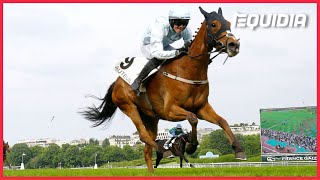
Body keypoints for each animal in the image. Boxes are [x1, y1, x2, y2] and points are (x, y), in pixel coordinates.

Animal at [81, 6, 246, 173]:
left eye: (229, 23)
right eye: (214, 24)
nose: (234, 45)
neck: (189, 70)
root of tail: (116, 83)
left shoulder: (202, 108)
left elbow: (222, 121)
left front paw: (239, 150)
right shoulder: (170, 110)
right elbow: (192, 118)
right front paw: (192, 146)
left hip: (151, 118)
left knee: (146, 150)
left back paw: (152, 172)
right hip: (129, 107)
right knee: (144, 136)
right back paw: (164, 150)